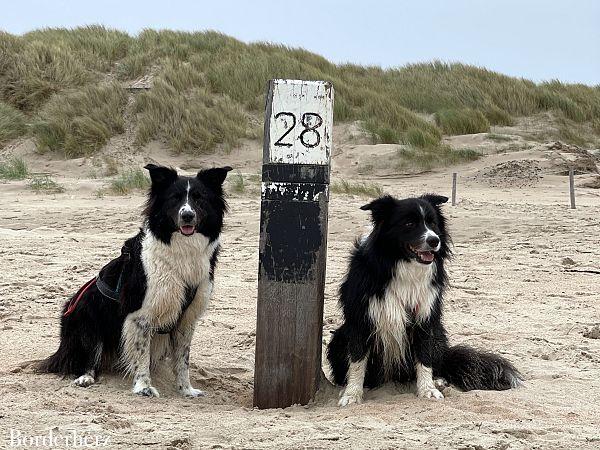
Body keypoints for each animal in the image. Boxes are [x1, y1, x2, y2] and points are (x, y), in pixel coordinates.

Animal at [38, 164, 232, 398]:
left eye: (199, 198)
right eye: (174, 198)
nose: (187, 215)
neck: (181, 250)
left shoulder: (187, 319)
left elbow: (182, 360)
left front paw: (186, 389)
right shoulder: (140, 315)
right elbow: (141, 355)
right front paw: (144, 387)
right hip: (88, 321)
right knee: (87, 357)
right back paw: (85, 377)